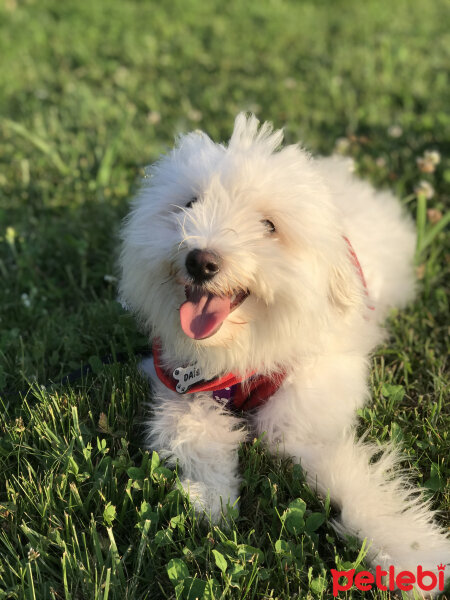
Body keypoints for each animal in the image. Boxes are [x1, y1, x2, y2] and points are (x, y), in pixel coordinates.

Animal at [119, 113, 450, 596]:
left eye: (270, 226)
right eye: (189, 204)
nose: (200, 261)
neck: (243, 348)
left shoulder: (306, 418)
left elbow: (351, 479)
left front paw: (411, 550)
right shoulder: (178, 381)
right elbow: (196, 432)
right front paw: (212, 499)